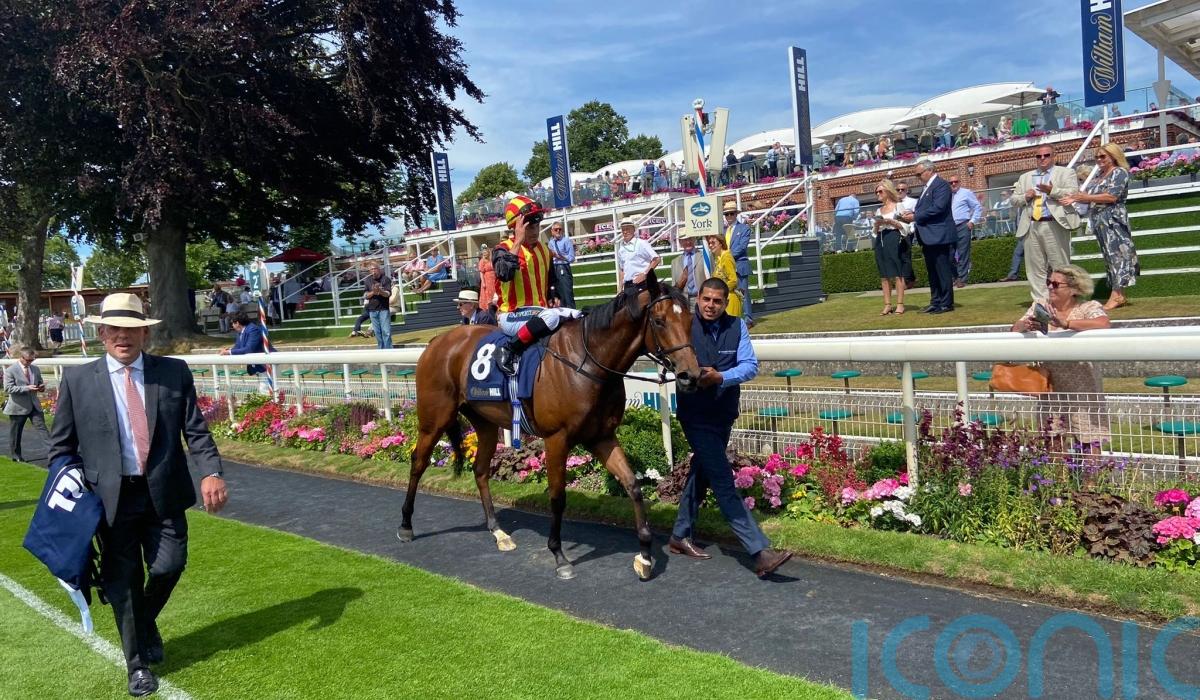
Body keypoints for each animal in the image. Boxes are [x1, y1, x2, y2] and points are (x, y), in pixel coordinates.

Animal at [399, 272, 701, 580]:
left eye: (690, 320)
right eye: (659, 321)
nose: (691, 375)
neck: (587, 363)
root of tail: (438, 341)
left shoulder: (602, 436)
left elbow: (632, 485)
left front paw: (645, 556)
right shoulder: (557, 438)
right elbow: (557, 496)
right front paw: (559, 555)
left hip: (485, 423)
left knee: (480, 469)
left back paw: (498, 532)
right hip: (434, 419)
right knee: (418, 461)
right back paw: (406, 525)